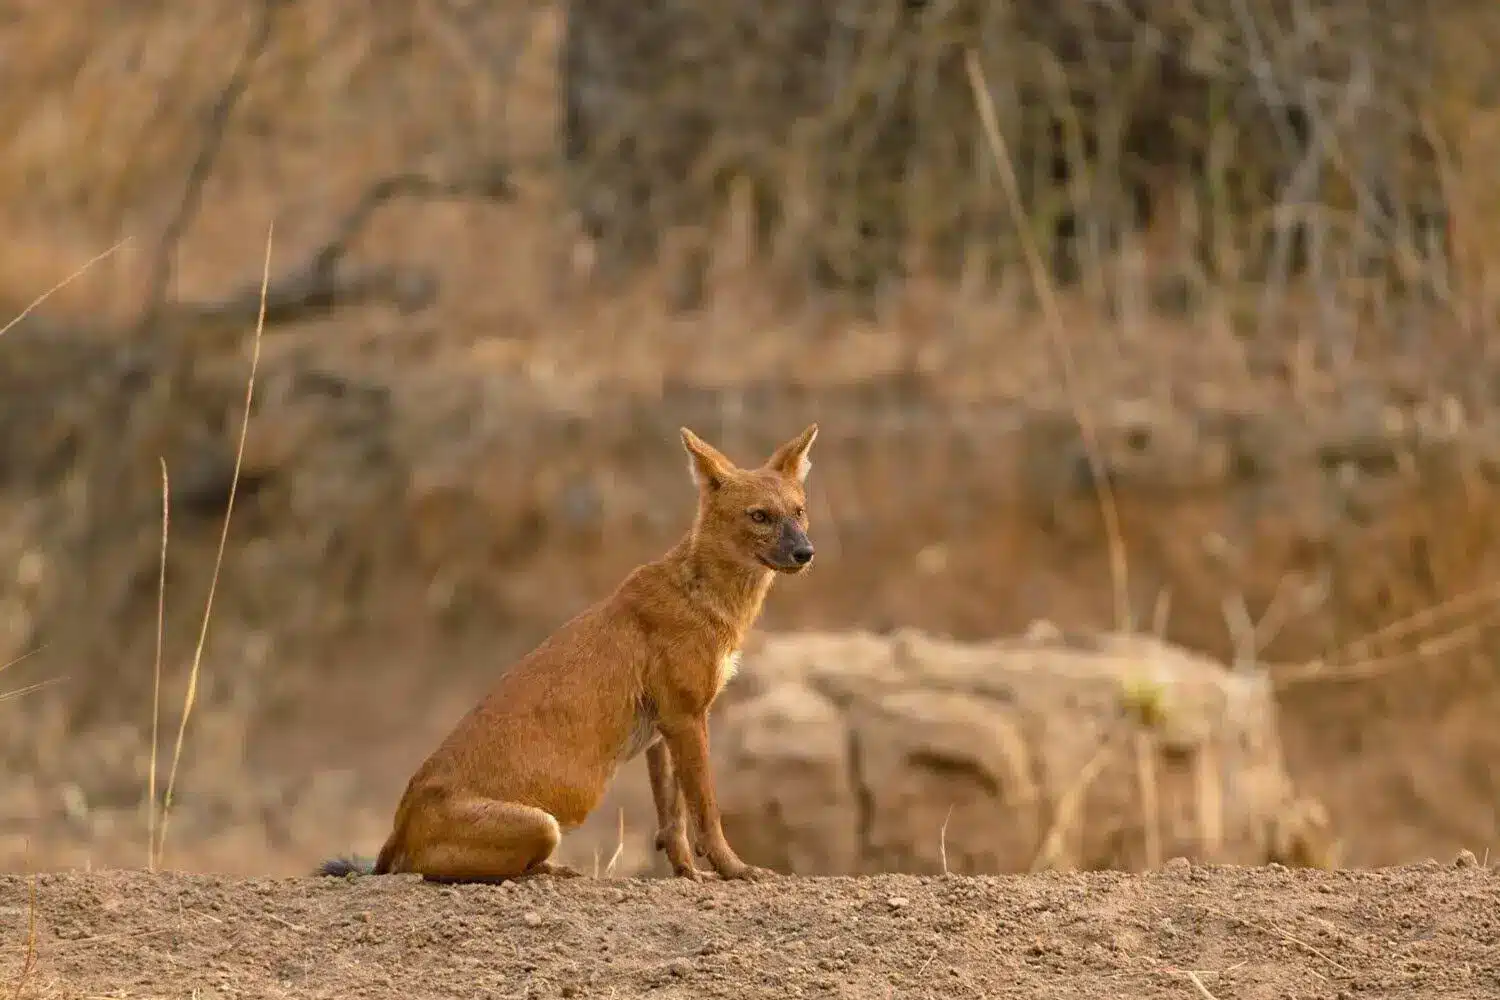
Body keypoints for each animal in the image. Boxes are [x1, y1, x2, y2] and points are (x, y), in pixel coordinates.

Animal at [318, 422, 828, 881]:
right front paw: (734, 869)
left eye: (799, 511)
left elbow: (672, 818)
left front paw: (687, 872)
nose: (805, 552)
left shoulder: (663, 729)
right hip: (541, 824)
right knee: (448, 871)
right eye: (759, 516)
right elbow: (706, 810)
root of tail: (396, 830)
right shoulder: (687, 716)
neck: (704, 596)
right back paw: (550, 870)